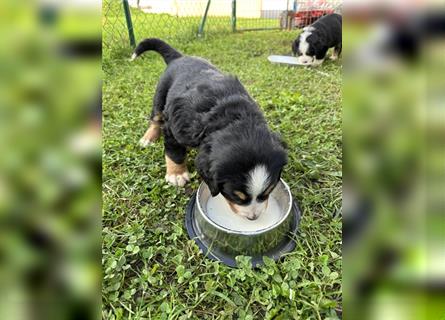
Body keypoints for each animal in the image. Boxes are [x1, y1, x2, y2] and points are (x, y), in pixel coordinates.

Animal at [131, 38, 288, 221]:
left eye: (269, 191)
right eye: (236, 196)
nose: (253, 217)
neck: (232, 118)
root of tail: (180, 57)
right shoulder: (173, 127)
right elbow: (174, 152)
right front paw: (176, 174)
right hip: (160, 95)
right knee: (155, 118)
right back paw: (148, 138)